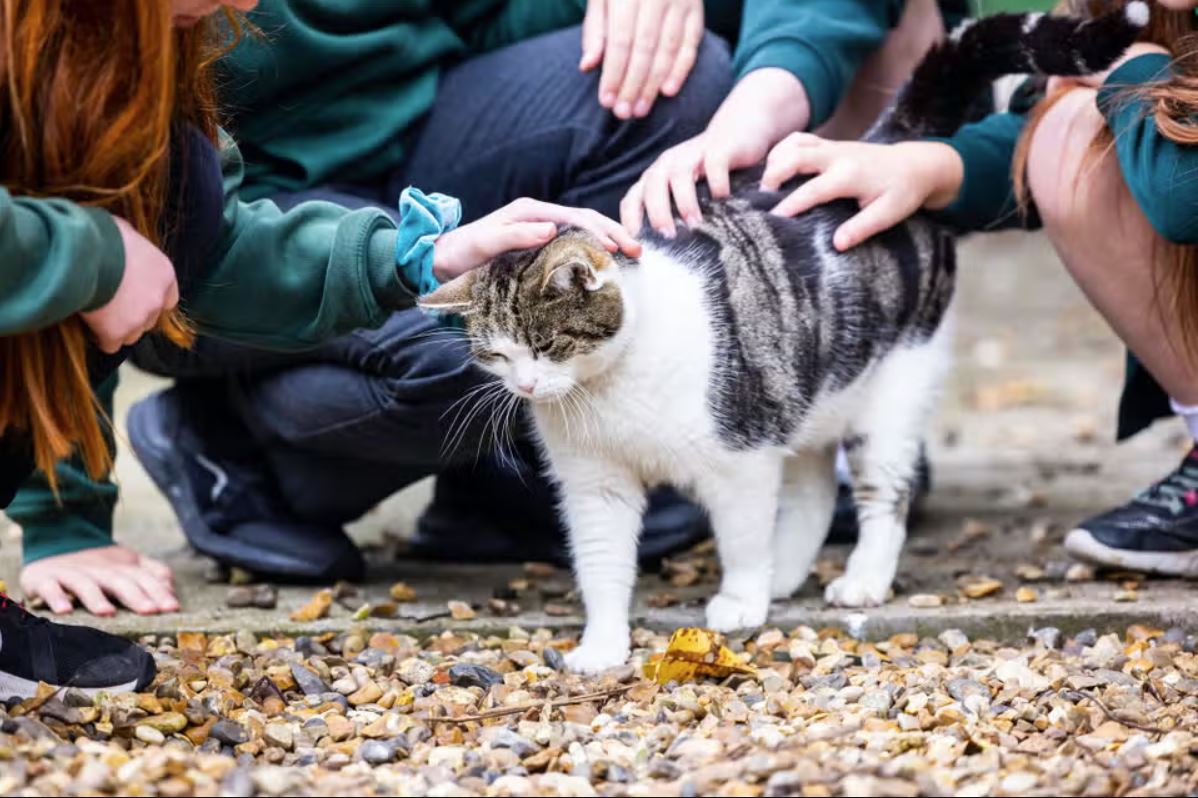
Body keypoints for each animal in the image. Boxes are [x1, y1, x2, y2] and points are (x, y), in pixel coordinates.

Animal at [424, 4, 1150, 670]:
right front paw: (602, 646)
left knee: (882, 496)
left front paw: (741, 599)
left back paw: (859, 580)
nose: (524, 386)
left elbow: (742, 536)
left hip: (889, 395)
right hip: (803, 393)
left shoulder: (740, 456)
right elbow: (602, 567)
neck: (608, 388)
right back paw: (788, 572)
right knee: (811, 490)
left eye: (546, 346)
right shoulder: (594, 485)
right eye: (497, 355)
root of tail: (880, 145)